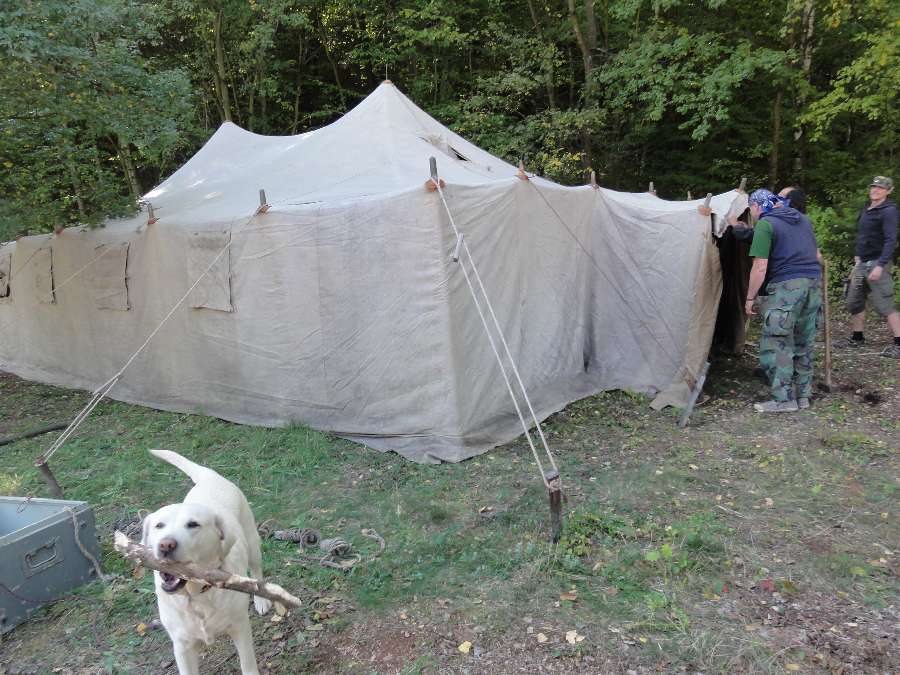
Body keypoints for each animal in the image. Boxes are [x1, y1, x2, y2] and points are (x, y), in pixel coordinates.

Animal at [142, 449, 272, 675]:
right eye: (159, 525)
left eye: (193, 524)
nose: (166, 544)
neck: (196, 596)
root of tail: (210, 477)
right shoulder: (182, 646)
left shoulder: (240, 628)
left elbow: (247, 664)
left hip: (253, 544)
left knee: (256, 571)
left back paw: (261, 600)